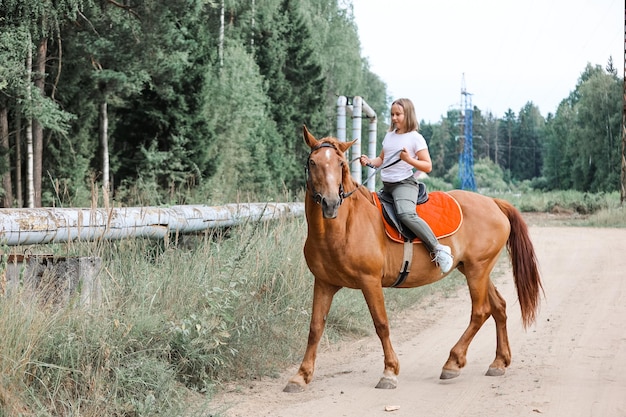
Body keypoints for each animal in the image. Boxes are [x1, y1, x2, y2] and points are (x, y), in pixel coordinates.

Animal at [282, 125, 540, 392]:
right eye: (312, 162)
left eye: (341, 164)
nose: (331, 203)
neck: (343, 227)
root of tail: (494, 203)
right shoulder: (323, 283)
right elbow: (315, 328)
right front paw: (301, 375)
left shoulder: (370, 281)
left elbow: (381, 324)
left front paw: (389, 372)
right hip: (474, 269)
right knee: (498, 307)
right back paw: (499, 362)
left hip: (477, 270)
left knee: (480, 312)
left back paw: (452, 362)